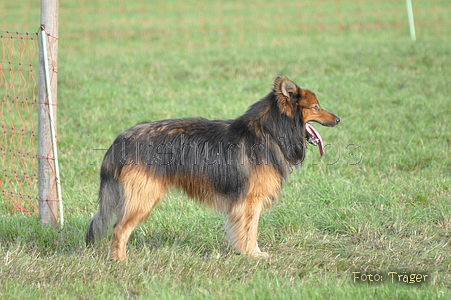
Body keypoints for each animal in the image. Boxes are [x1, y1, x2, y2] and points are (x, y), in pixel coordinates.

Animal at [85, 77, 340, 260]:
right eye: (316, 107)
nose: (338, 119)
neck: (270, 132)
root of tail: (122, 140)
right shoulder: (250, 201)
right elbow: (250, 229)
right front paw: (252, 254)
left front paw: (249, 252)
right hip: (143, 198)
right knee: (119, 229)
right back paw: (119, 260)